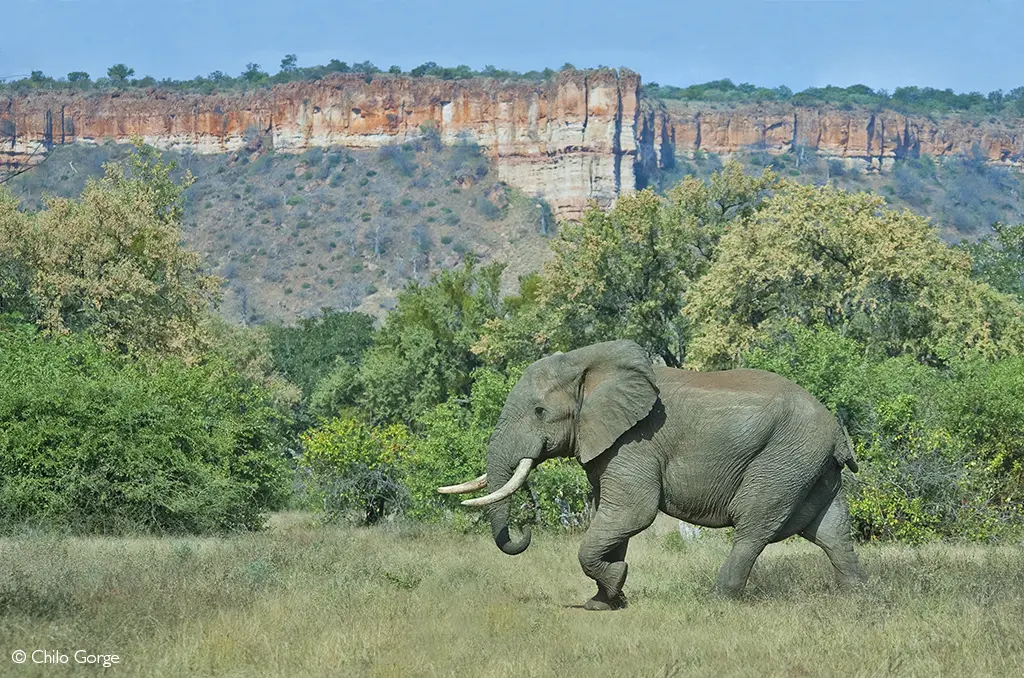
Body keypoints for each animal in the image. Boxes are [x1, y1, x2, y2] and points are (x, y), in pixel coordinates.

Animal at [438, 339, 867, 610]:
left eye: (540, 412)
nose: (523, 530)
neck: (587, 364)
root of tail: (835, 431)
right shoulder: (612, 446)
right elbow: (612, 518)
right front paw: (604, 603)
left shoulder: (635, 442)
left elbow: (631, 513)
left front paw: (614, 584)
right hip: (810, 464)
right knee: (831, 532)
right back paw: (859, 598)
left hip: (784, 458)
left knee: (753, 526)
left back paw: (717, 602)